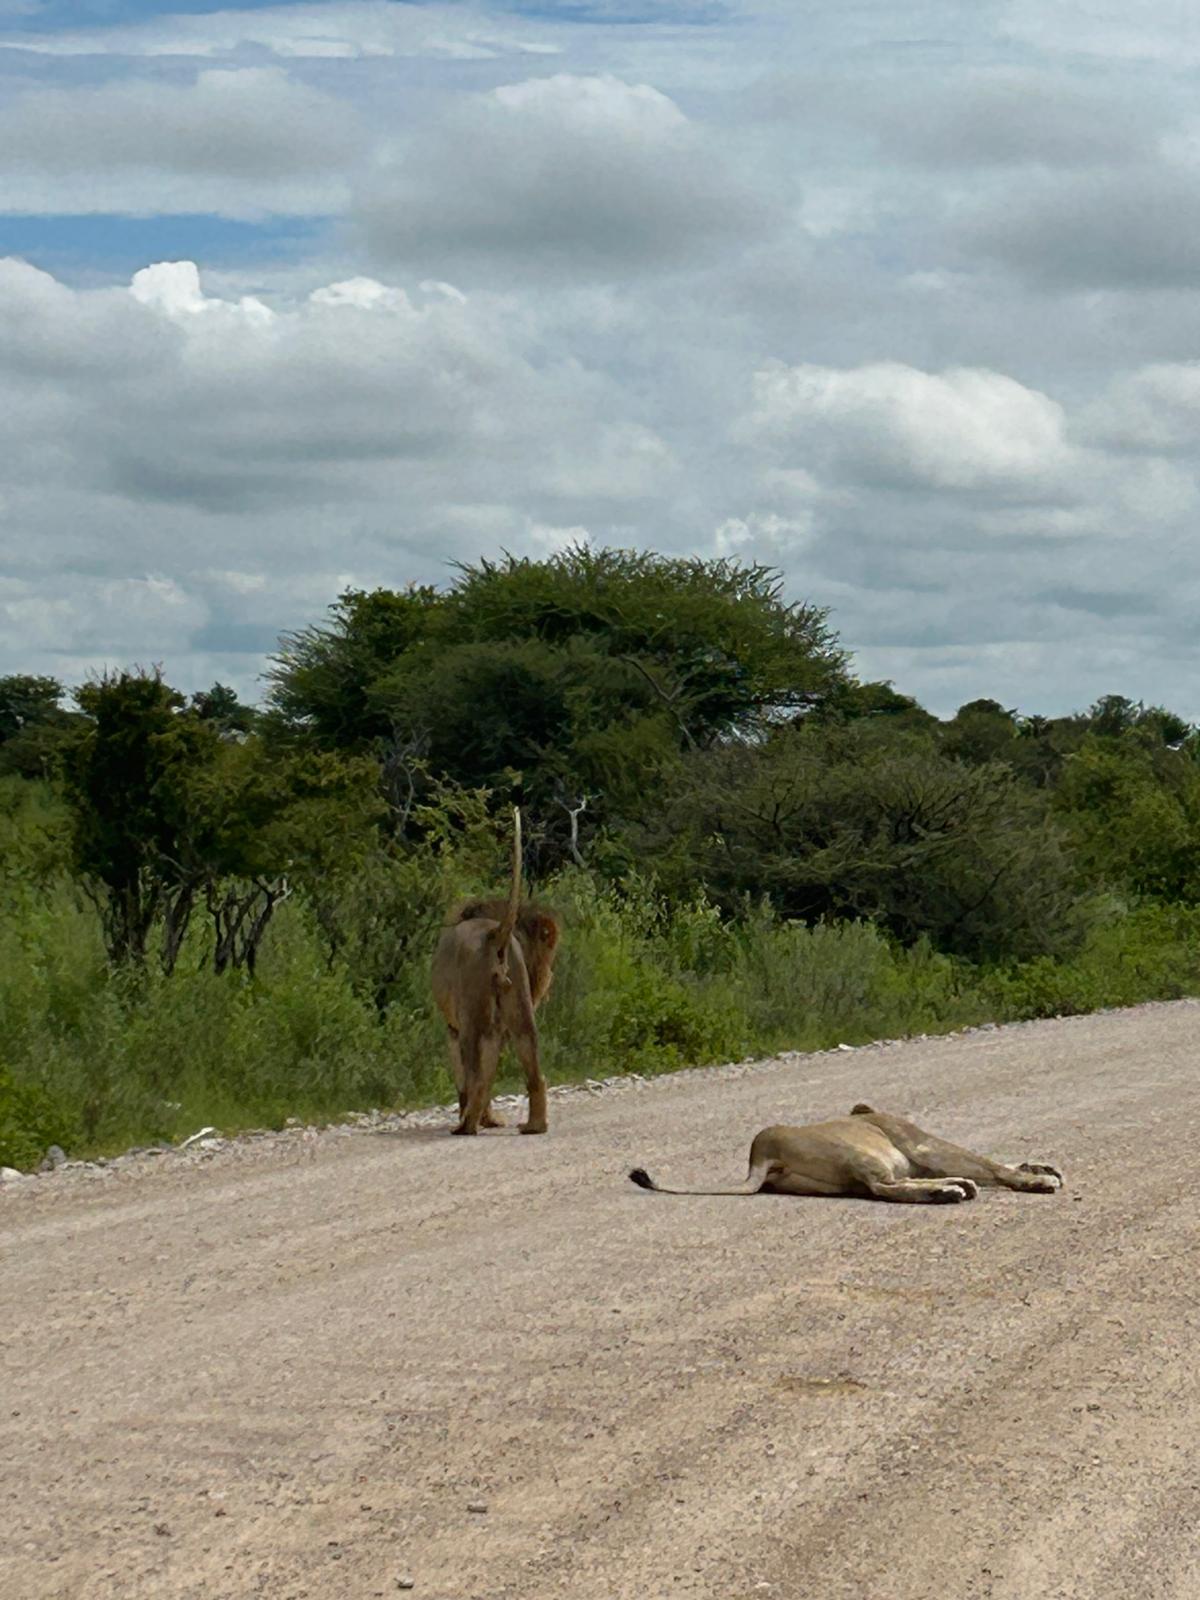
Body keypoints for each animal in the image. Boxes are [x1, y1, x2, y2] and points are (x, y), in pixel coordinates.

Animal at [431, 807, 560, 1136]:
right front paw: (489, 1120)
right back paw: (534, 1126)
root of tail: (495, 935)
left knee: (475, 1075)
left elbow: (464, 1077)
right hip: (520, 1011)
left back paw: (465, 1126)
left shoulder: (452, 1029)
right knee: (533, 1068)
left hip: (471, 1017)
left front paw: (478, 1117)